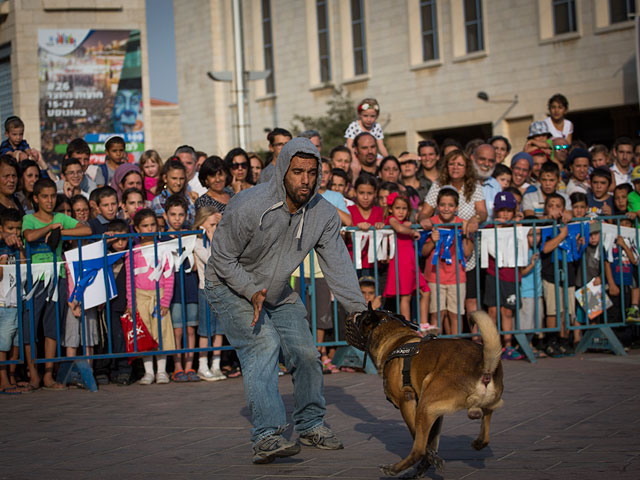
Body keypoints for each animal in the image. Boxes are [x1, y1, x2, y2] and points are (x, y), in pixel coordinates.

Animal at [344, 308, 504, 476]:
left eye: (358, 317)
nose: (349, 314)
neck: (394, 339)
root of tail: (484, 367)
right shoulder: (437, 413)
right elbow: (432, 442)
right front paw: (429, 461)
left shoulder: (407, 401)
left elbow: (418, 437)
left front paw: (429, 460)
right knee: (486, 433)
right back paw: (477, 443)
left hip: (424, 406)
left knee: (418, 449)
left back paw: (394, 469)